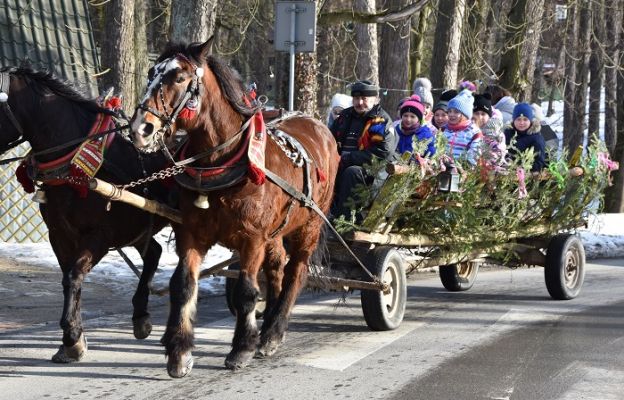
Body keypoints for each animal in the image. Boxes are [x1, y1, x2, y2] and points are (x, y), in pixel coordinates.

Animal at [0, 68, 171, 362]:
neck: (75, 164)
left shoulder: (99, 236)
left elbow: (74, 275)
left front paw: (71, 335)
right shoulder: (59, 234)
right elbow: (68, 278)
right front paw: (73, 341)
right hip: (139, 227)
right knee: (154, 253)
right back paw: (140, 316)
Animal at [129, 39, 338, 376]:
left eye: (179, 78)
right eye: (151, 73)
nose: (140, 128)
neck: (222, 163)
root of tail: (318, 124)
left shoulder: (252, 240)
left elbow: (245, 292)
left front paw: (241, 348)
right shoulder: (191, 233)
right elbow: (183, 285)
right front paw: (180, 352)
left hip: (309, 226)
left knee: (296, 272)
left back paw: (273, 332)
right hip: (275, 233)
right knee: (277, 269)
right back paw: (267, 325)